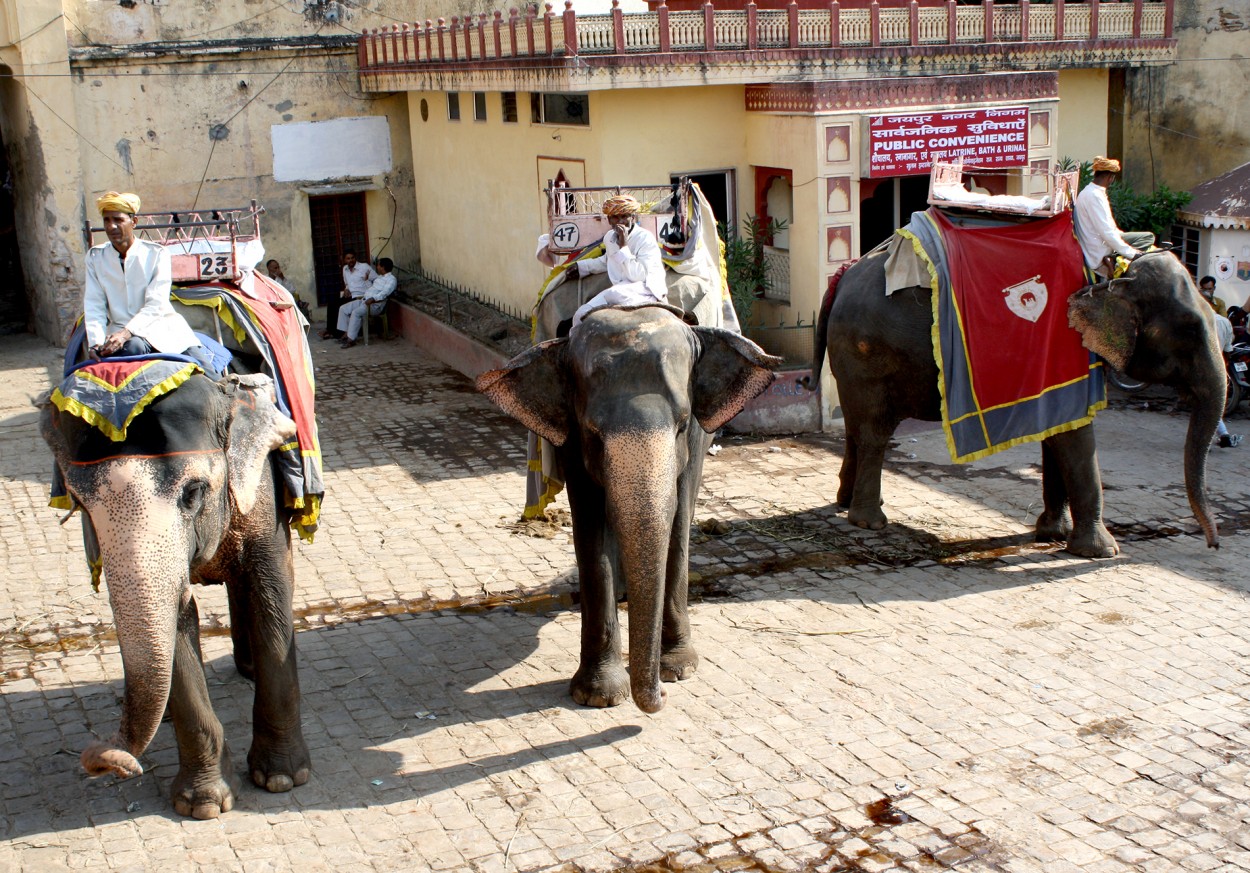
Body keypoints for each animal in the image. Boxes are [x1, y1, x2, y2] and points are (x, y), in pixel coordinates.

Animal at [42, 372, 312, 815]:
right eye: (78, 503)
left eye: (194, 492)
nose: (111, 762)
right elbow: (180, 622)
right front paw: (203, 804)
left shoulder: (261, 492)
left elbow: (270, 592)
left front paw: (282, 779)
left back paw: (249, 671)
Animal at [477, 303, 780, 705]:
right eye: (593, 433)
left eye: (682, 424)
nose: (660, 696)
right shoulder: (572, 436)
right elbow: (591, 528)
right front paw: (600, 696)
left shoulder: (695, 437)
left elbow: (678, 521)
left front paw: (678, 670)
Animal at [805, 247, 1225, 555]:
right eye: (1189, 329)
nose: (1213, 544)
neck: (1107, 276)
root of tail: (842, 276)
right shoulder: (1065, 352)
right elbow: (1075, 437)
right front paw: (1102, 552)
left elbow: (1057, 430)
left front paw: (1052, 534)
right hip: (868, 353)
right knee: (874, 431)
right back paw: (870, 521)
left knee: (855, 427)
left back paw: (845, 504)